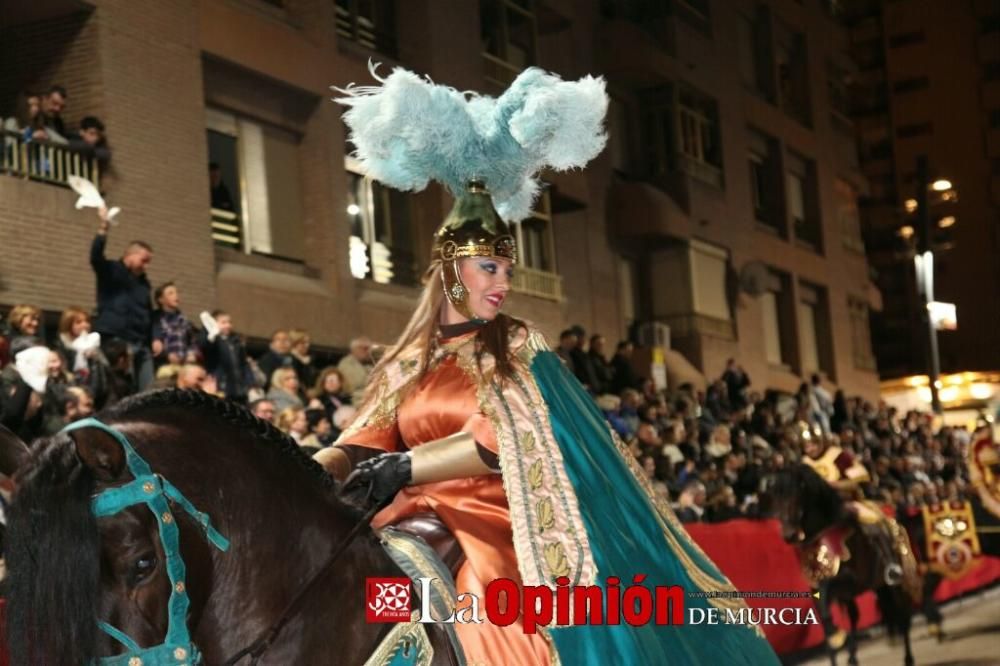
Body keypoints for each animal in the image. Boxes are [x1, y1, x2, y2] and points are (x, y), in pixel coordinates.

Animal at [760, 462, 916, 664]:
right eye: (774, 497)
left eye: (796, 492)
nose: (789, 535)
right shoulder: (817, 588)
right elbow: (825, 622)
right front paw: (836, 642)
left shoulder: (846, 580)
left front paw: (837, 636)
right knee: (855, 615)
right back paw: (852, 656)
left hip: (891, 583)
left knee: (901, 614)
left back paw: (908, 657)